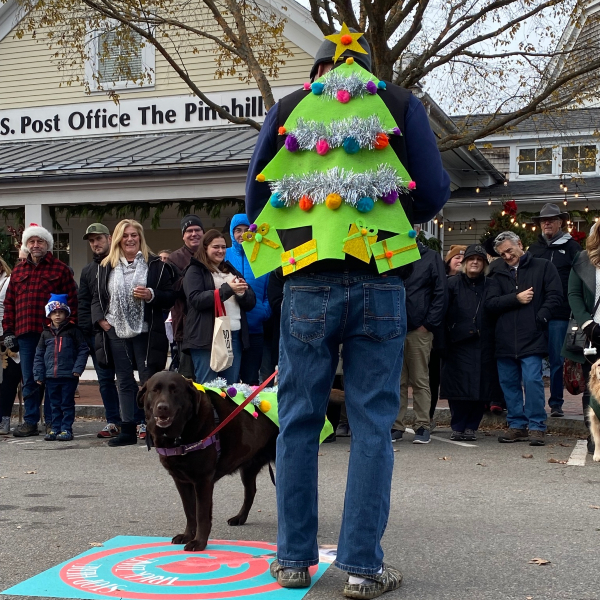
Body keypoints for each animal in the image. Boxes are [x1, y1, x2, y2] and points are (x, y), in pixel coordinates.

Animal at [137, 372, 278, 552]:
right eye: (154, 390)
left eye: (176, 391)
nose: (163, 407)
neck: (180, 433)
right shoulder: (181, 481)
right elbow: (189, 511)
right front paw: (187, 535)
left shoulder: (203, 480)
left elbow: (201, 514)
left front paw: (199, 542)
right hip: (248, 467)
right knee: (251, 491)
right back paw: (239, 517)